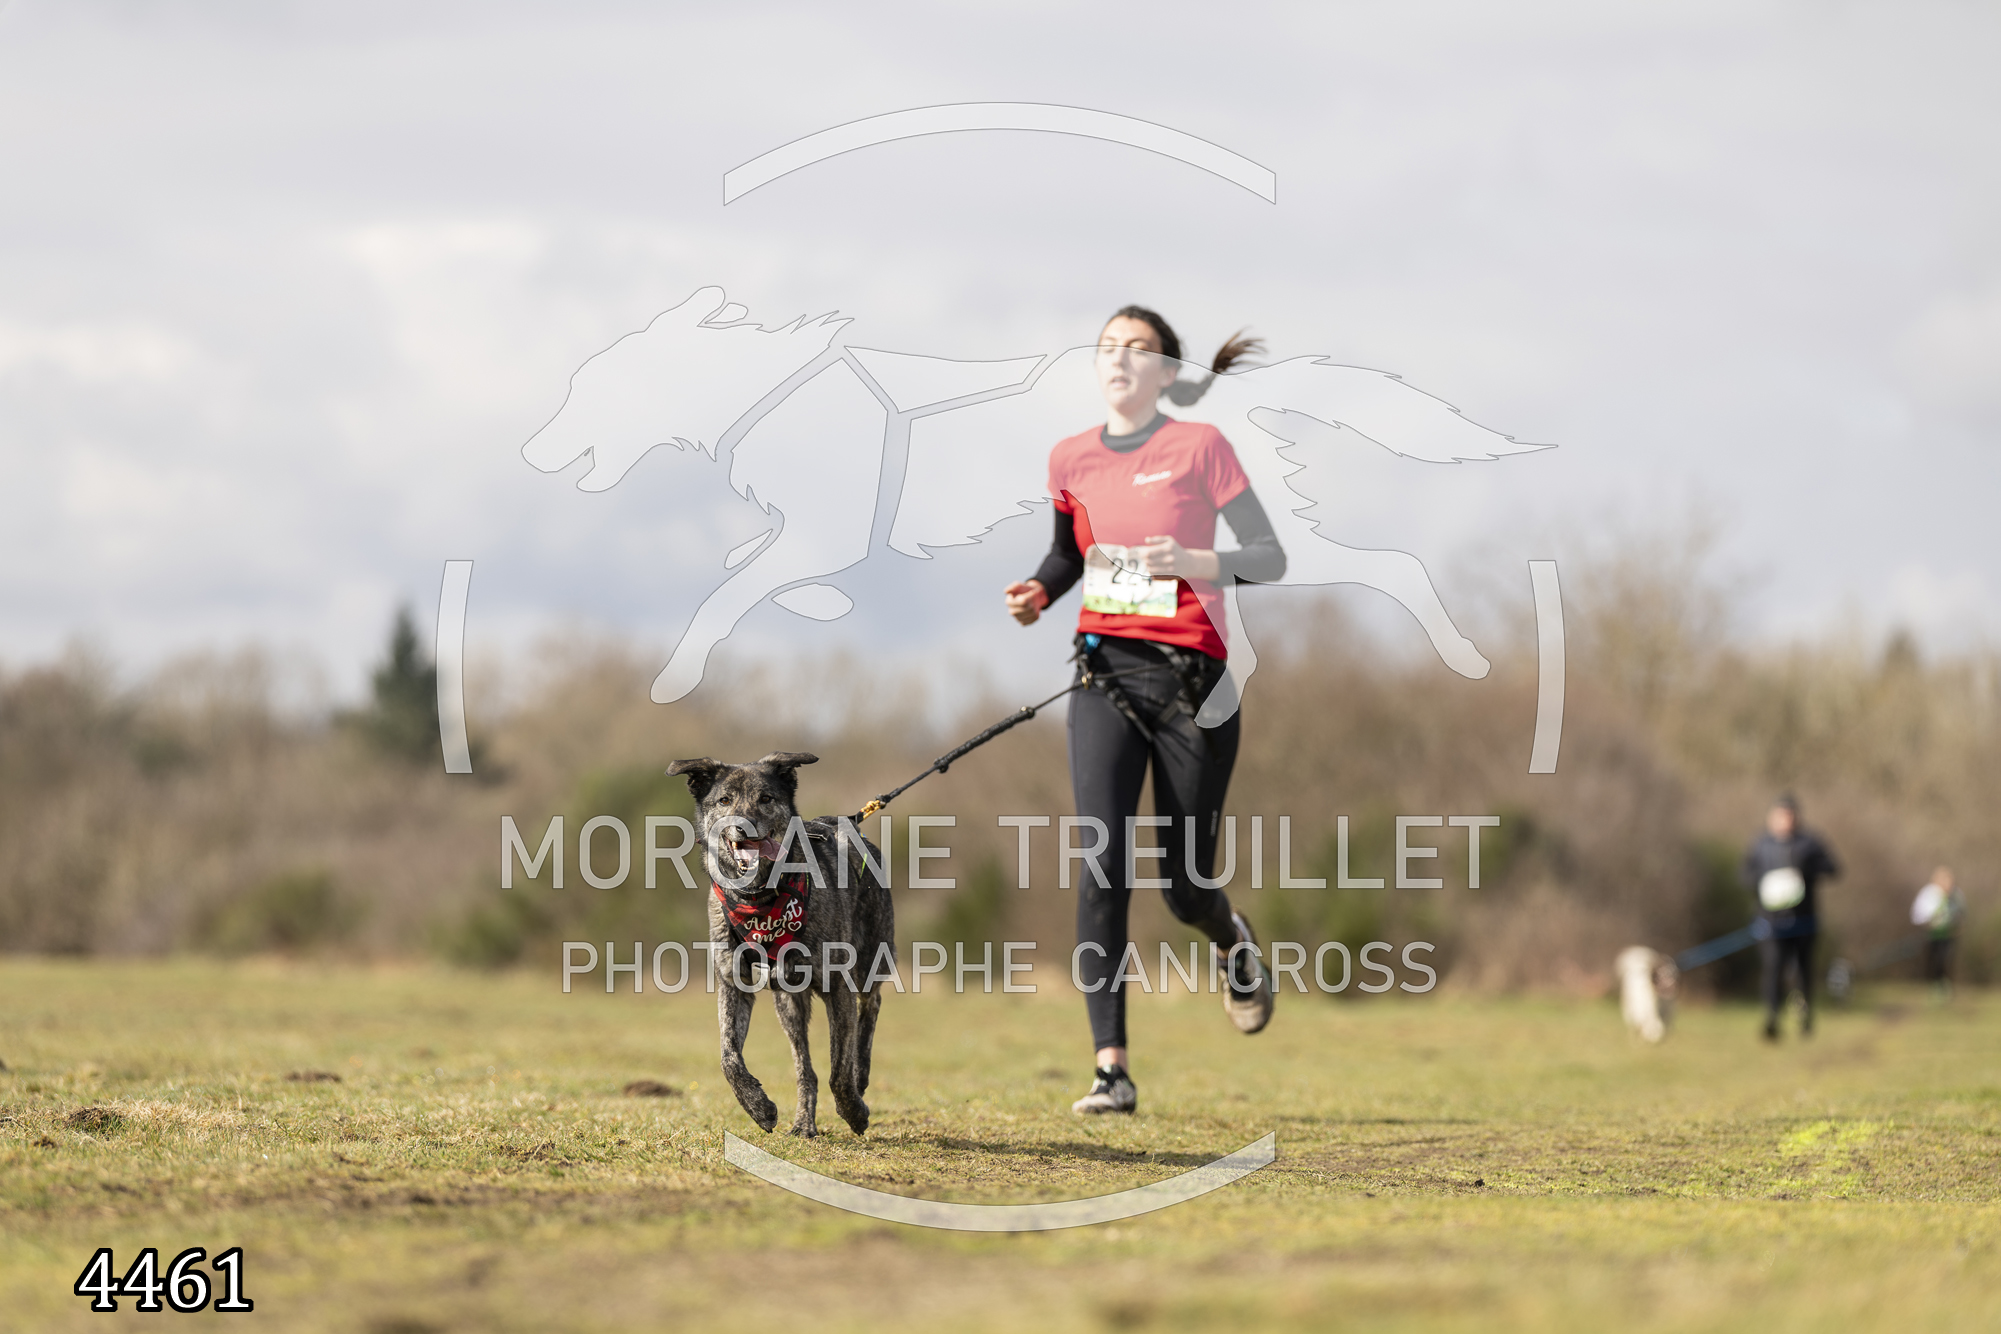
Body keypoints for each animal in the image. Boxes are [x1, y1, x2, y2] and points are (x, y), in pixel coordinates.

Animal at [666, 751, 894, 1137]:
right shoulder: (733, 985)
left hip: (869, 961)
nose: (743, 827)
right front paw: (757, 1106)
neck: (760, 898)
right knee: (805, 1068)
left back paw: (861, 1074)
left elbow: (839, 1068)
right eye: (724, 800)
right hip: (788, 1003)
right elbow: (728, 1058)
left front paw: (854, 1111)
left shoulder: (837, 985)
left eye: (766, 799)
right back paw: (803, 1122)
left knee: (870, 1008)